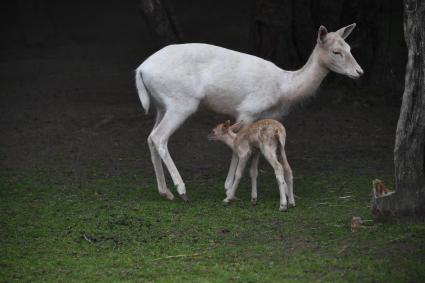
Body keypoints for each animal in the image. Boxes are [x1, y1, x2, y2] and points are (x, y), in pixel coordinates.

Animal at [135, 25, 362, 202]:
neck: (283, 88)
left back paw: (165, 192)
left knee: (149, 137)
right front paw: (228, 188)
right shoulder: (248, 110)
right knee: (159, 137)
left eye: (349, 47)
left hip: (161, 105)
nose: (359, 72)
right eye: (336, 51)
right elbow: (236, 147)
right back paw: (181, 190)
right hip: (181, 103)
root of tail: (140, 70)